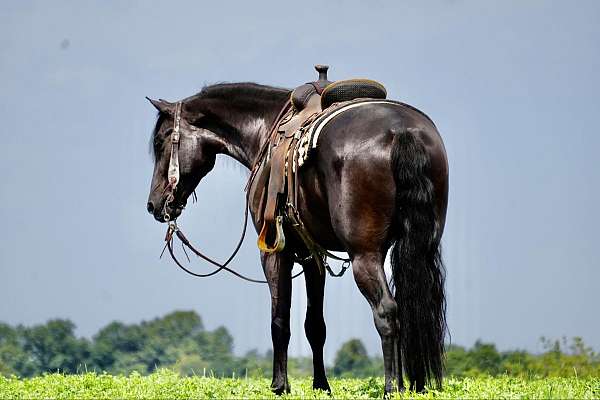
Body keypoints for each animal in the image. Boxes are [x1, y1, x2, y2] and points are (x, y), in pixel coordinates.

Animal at [145, 81, 448, 394]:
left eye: (160, 142)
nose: (154, 204)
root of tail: (401, 131)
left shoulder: (275, 253)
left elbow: (280, 320)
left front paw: (280, 385)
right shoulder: (313, 256)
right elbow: (315, 325)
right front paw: (321, 386)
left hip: (365, 255)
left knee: (386, 311)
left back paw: (391, 387)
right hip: (419, 247)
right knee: (413, 311)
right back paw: (414, 386)